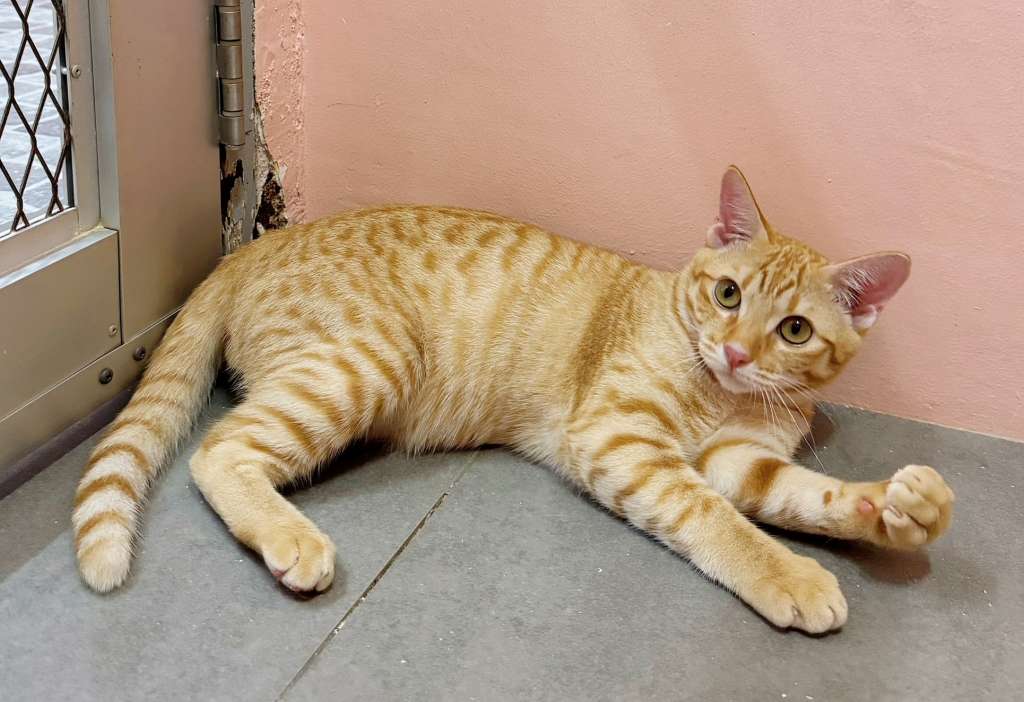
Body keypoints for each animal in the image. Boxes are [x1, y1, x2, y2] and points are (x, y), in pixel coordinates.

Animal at [72, 166, 953, 633]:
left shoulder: (742, 460)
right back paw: (291, 537)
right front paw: (789, 576)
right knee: (218, 449)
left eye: (795, 330)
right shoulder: (622, 438)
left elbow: (805, 494)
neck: (726, 398)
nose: (735, 352)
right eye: (728, 294)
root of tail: (250, 247)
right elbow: (716, 519)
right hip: (366, 361)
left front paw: (895, 511)